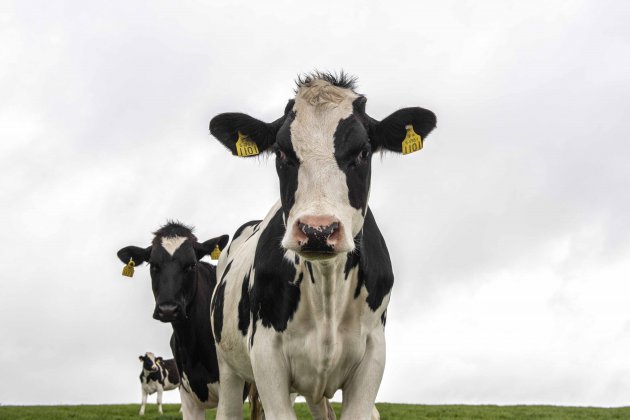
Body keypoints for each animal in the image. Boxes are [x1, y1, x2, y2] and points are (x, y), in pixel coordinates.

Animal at [210, 72, 436, 420]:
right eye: (282, 153)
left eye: (363, 151)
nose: (318, 230)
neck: (327, 289)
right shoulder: (266, 357)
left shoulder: (373, 355)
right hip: (229, 366)